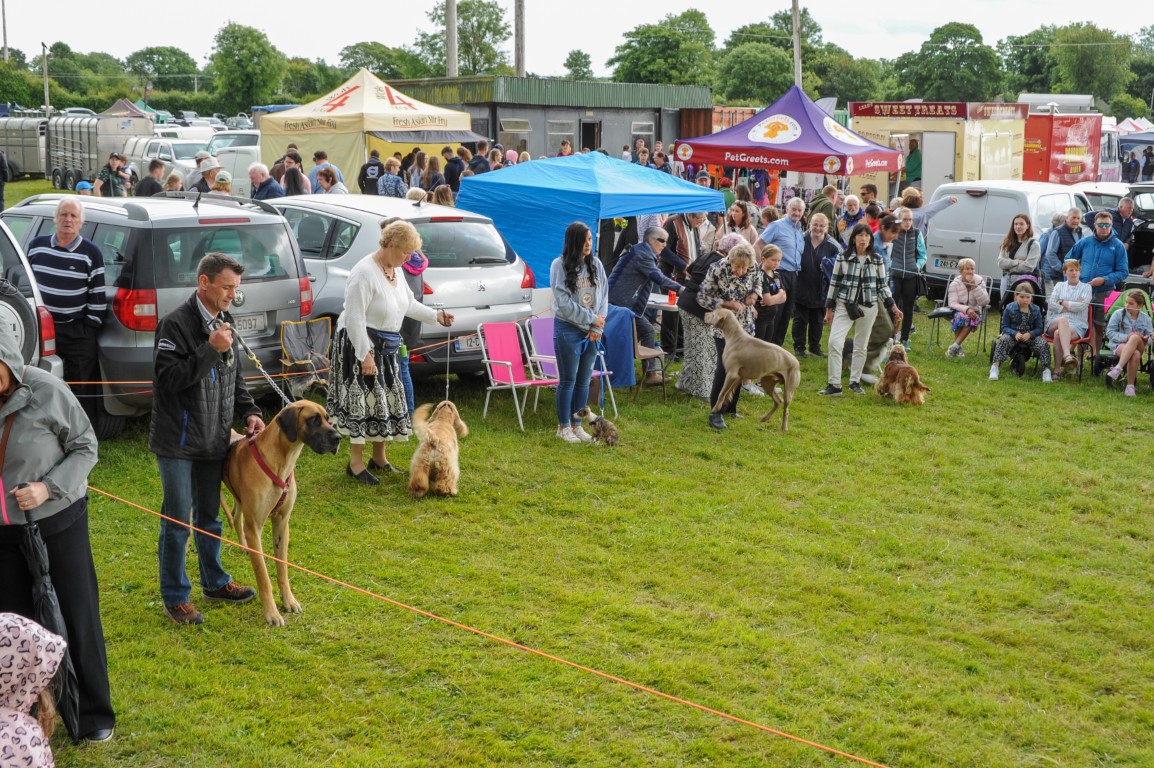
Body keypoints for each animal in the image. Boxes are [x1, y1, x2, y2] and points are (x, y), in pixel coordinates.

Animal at [221, 400, 341, 626]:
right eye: (313, 419)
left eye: (328, 419)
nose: (339, 438)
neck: (282, 460)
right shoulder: (255, 529)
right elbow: (263, 577)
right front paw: (272, 613)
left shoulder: (282, 524)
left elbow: (282, 569)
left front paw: (289, 601)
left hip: (240, 500)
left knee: (237, 516)